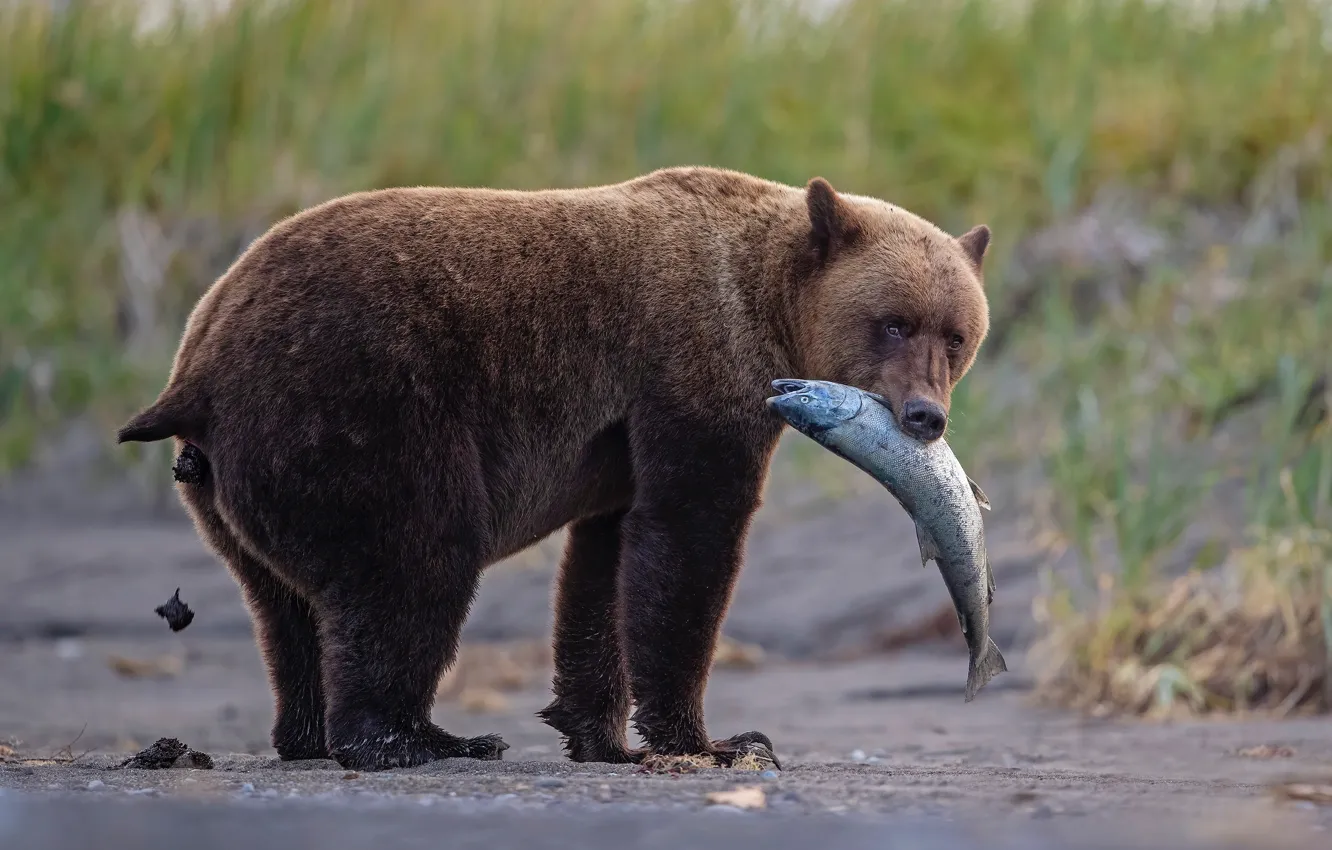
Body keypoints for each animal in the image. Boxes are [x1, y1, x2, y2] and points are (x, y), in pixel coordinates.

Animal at [117, 165, 991, 772]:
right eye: (893, 321)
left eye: (955, 334)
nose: (925, 416)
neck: (763, 307)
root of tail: (196, 365)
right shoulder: (689, 379)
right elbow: (688, 544)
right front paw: (714, 739)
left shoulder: (618, 444)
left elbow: (605, 568)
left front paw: (601, 733)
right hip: (354, 407)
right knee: (415, 560)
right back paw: (418, 738)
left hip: (227, 481)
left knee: (284, 607)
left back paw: (307, 732)